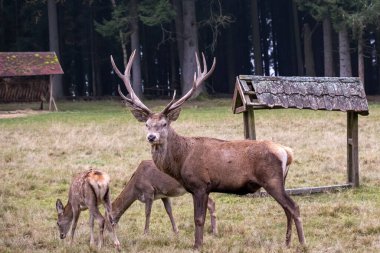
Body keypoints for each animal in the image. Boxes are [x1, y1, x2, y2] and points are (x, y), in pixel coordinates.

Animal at [112, 50, 306, 248]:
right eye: (147, 125)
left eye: (164, 124)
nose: (151, 137)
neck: (181, 161)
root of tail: (287, 152)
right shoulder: (194, 189)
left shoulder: (200, 184)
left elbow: (198, 219)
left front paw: (197, 245)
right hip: (280, 180)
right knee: (287, 209)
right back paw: (287, 242)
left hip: (272, 179)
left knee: (294, 207)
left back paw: (302, 243)